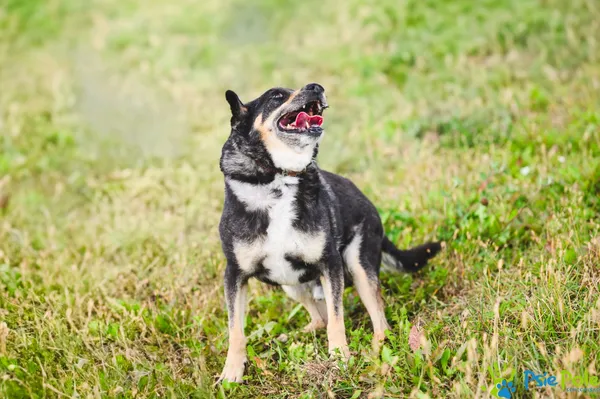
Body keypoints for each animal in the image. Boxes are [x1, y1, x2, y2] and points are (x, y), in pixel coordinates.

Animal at [217, 83, 440, 382]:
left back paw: (375, 350)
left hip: (358, 266)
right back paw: (293, 335)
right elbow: (235, 331)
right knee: (319, 317)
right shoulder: (235, 274)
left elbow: (337, 320)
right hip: (291, 285)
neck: (279, 177)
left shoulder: (330, 264)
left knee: (379, 322)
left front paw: (339, 358)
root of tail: (368, 202)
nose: (316, 87)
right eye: (276, 96)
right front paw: (232, 371)